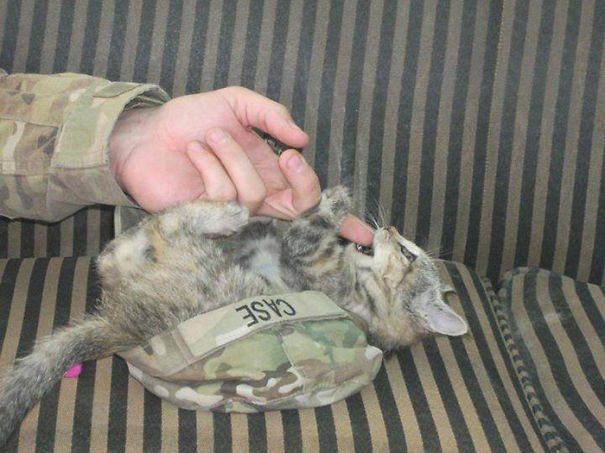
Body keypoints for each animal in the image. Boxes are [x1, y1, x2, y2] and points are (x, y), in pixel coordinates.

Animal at [0, 185, 468, 444]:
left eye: (407, 253)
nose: (387, 229)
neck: (359, 290)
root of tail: (124, 321)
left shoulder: (313, 265)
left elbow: (304, 233)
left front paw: (333, 199)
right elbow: (285, 231)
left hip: (198, 267)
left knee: (153, 232)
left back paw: (226, 211)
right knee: (118, 248)